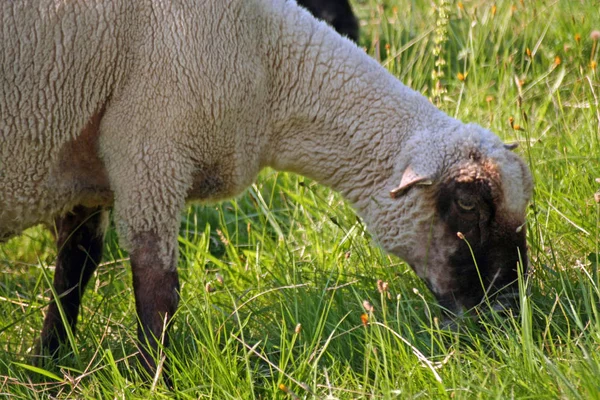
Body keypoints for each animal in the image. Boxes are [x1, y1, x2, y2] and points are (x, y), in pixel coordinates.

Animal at [0, 0, 536, 382]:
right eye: (466, 204)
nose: (509, 312)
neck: (269, 67)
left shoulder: (88, 167)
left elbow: (75, 268)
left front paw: (47, 361)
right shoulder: (151, 149)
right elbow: (157, 291)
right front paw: (155, 380)